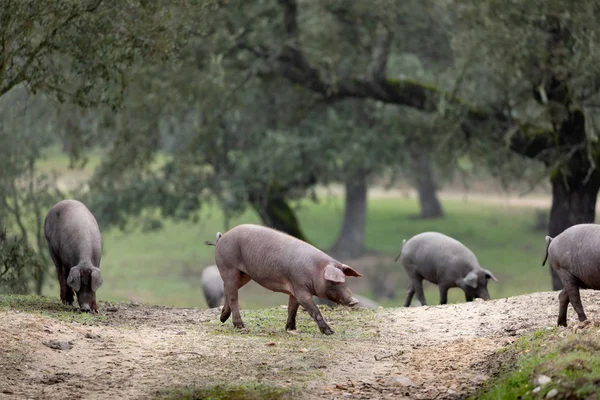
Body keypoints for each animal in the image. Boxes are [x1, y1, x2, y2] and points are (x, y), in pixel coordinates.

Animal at [204, 225, 364, 334]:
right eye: (334, 281)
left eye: (345, 280)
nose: (354, 301)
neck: (315, 271)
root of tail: (221, 237)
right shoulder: (300, 289)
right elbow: (314, 310)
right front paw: (330, 332)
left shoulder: (294, 290)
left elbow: (292, 309)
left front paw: (290, 329)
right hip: (228, 267)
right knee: (233, 296)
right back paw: (240, 326)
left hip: (244, 275)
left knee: (228, 290)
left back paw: (222, 319)